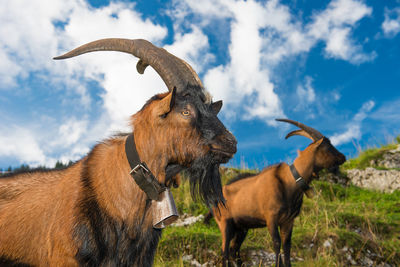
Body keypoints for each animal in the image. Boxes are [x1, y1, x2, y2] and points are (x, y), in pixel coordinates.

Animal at [205, 119, 346, 267]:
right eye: (327, 146)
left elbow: (287, 245)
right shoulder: (271, 217)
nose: (343, 157)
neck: (290, 181)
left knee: (233, 251)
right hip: (225, 223)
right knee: (225, 251)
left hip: (241, 228)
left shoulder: (288, 221)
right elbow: (277, 243)